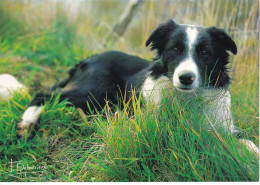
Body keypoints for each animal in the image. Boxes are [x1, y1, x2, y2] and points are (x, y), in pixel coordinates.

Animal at [15, 19, 258, 154]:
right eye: (175, 49)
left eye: (204, 53)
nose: (186, 78)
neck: (187, 98)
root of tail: (90, 57)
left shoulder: (224, 126)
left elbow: (248, 143)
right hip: (97, 90)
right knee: (43, 94)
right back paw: (27, 123)